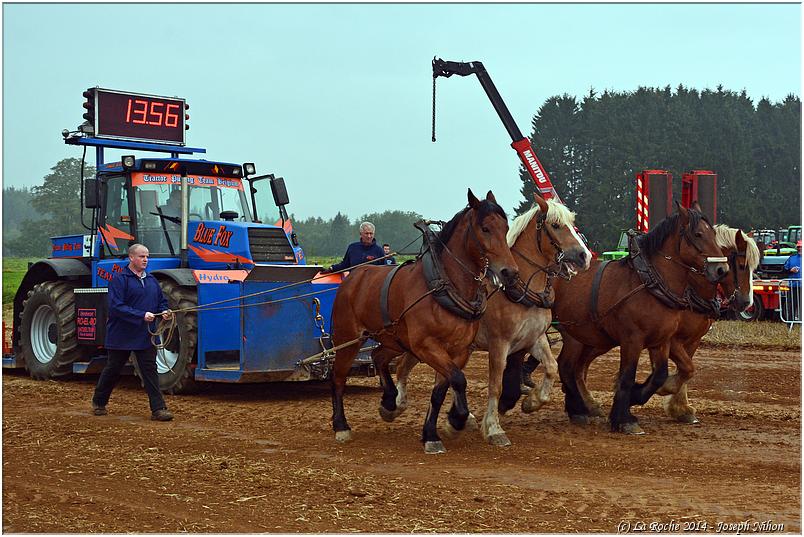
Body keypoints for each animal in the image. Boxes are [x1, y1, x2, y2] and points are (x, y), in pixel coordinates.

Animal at [330, 188, 520, 452]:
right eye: (485, 228)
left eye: (505, 227)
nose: (509, 272)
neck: (444, 285)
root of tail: (353, 276)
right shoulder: (426, 345)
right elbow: (458, 379)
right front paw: (457, 420)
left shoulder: (459, 350)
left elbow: (441, 390)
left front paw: (433, 432)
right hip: (348, 338)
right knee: (338, 377)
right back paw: (341, 426)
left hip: (394, 339)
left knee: (378, 357)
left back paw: (389, 401)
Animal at [386, 195, 592, 446]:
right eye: (555, 225)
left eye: (573, 223)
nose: (585, 256)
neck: (520, 289)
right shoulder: (499, 344)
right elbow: (496, 385)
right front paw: (494, 428)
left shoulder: (534, 338)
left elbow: (552, 367)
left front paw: (532, 402)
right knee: (404, 366)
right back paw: (397, 405)